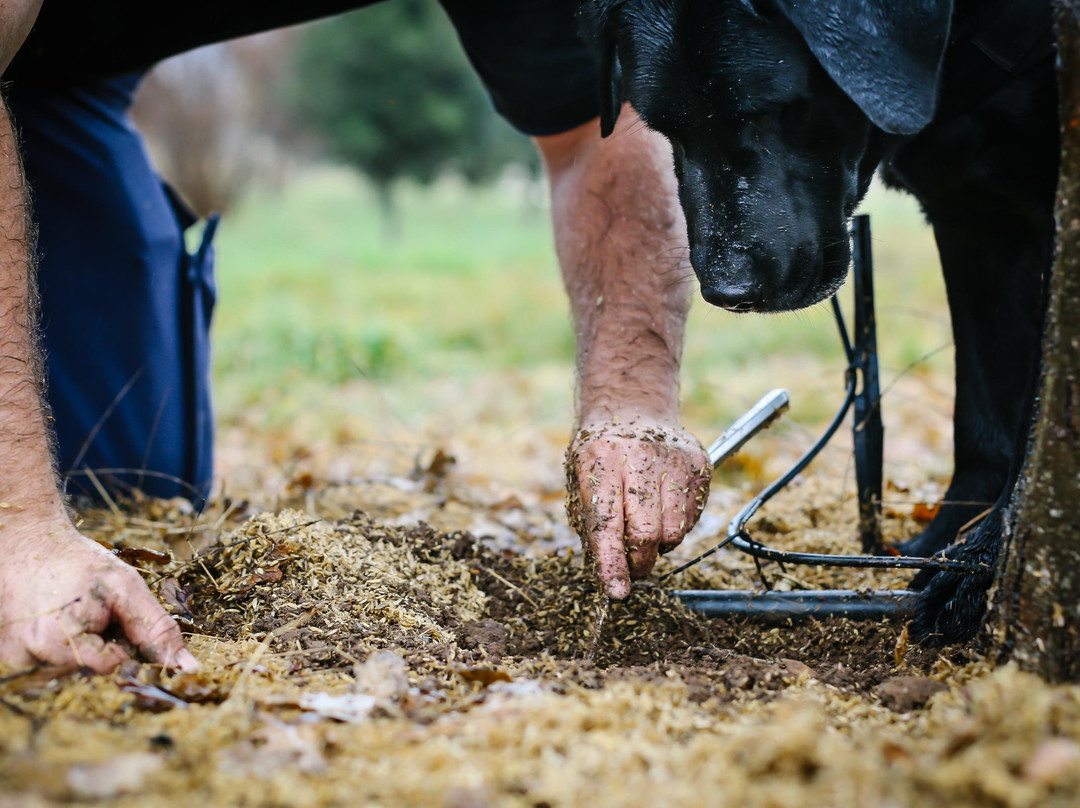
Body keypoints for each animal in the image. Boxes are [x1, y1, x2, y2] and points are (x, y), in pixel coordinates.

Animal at [578, 1, 1058, 643]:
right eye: (665, 129)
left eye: (770, 112)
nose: (727, 291)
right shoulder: (969, 219)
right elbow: (982, 416)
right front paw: (942, 544)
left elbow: (1033, 422)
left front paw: (977, 566)